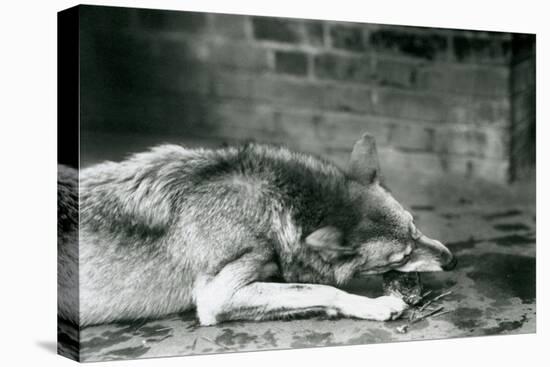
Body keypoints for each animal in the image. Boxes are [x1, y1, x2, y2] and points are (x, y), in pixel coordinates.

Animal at [58, 134, 460, 326]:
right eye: (402, 256)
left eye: (416, 227)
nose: (452, 260)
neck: (271, 205)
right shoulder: (217, 296)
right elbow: (323, 289)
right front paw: (375, 306)